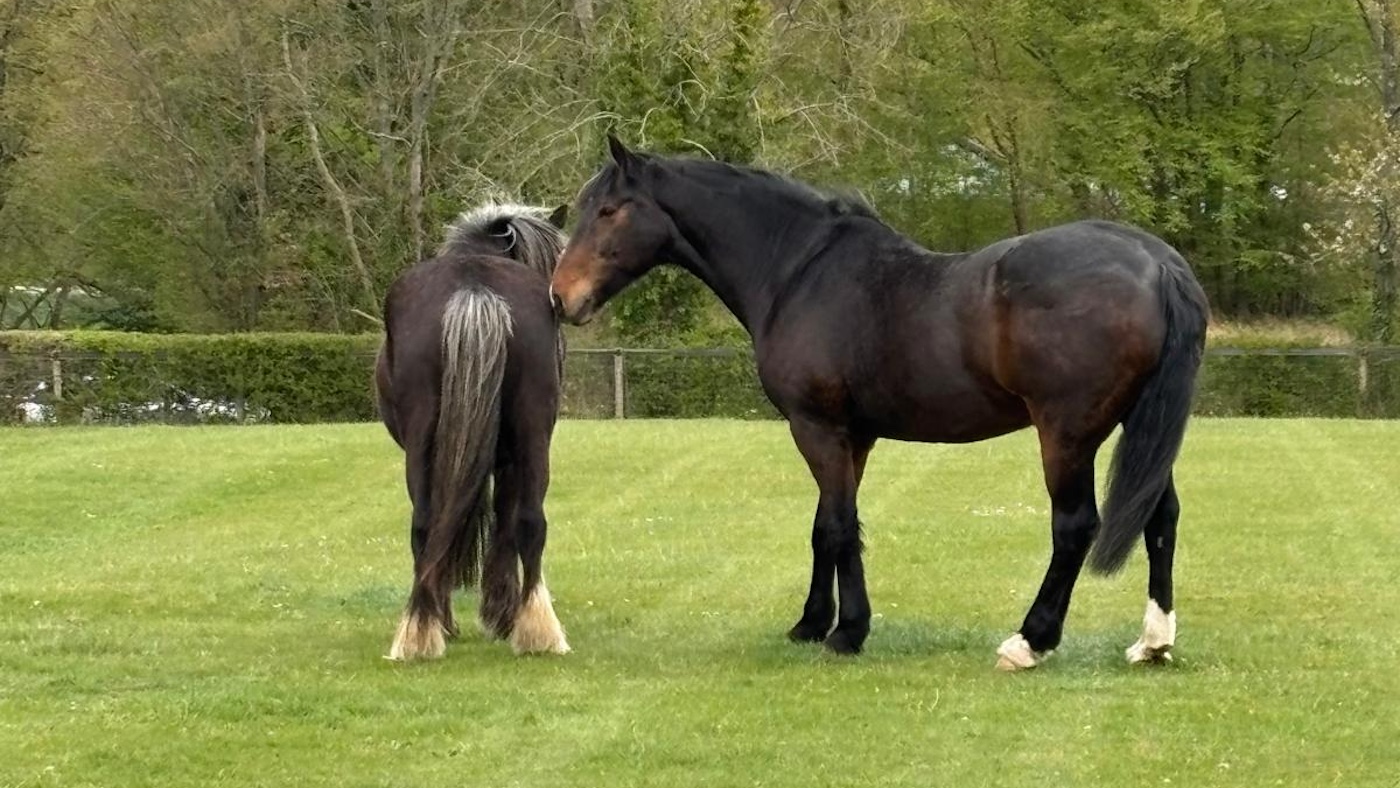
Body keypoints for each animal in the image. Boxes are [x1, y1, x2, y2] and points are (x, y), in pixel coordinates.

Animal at [375, 201, 572, 661]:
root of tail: (475, 286)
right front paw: (501, 612)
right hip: (531, 432)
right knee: (528, 521)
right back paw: (534, 630)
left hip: (426, 439)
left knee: (428, 523)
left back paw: (426, 627)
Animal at [549, 136, 1209, 670]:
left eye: (608, 210)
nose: (560, 296)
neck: (797, 271)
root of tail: (1158, 263)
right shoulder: (851, 434)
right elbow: (825, 526)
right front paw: (813, 622)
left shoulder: (815, 426)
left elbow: (842, 525)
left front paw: (849, 633)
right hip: (1138, 427)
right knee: (1161, 518)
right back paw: (1153, 642)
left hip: (1066, 435)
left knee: (1075, 526)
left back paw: (1030, 641)